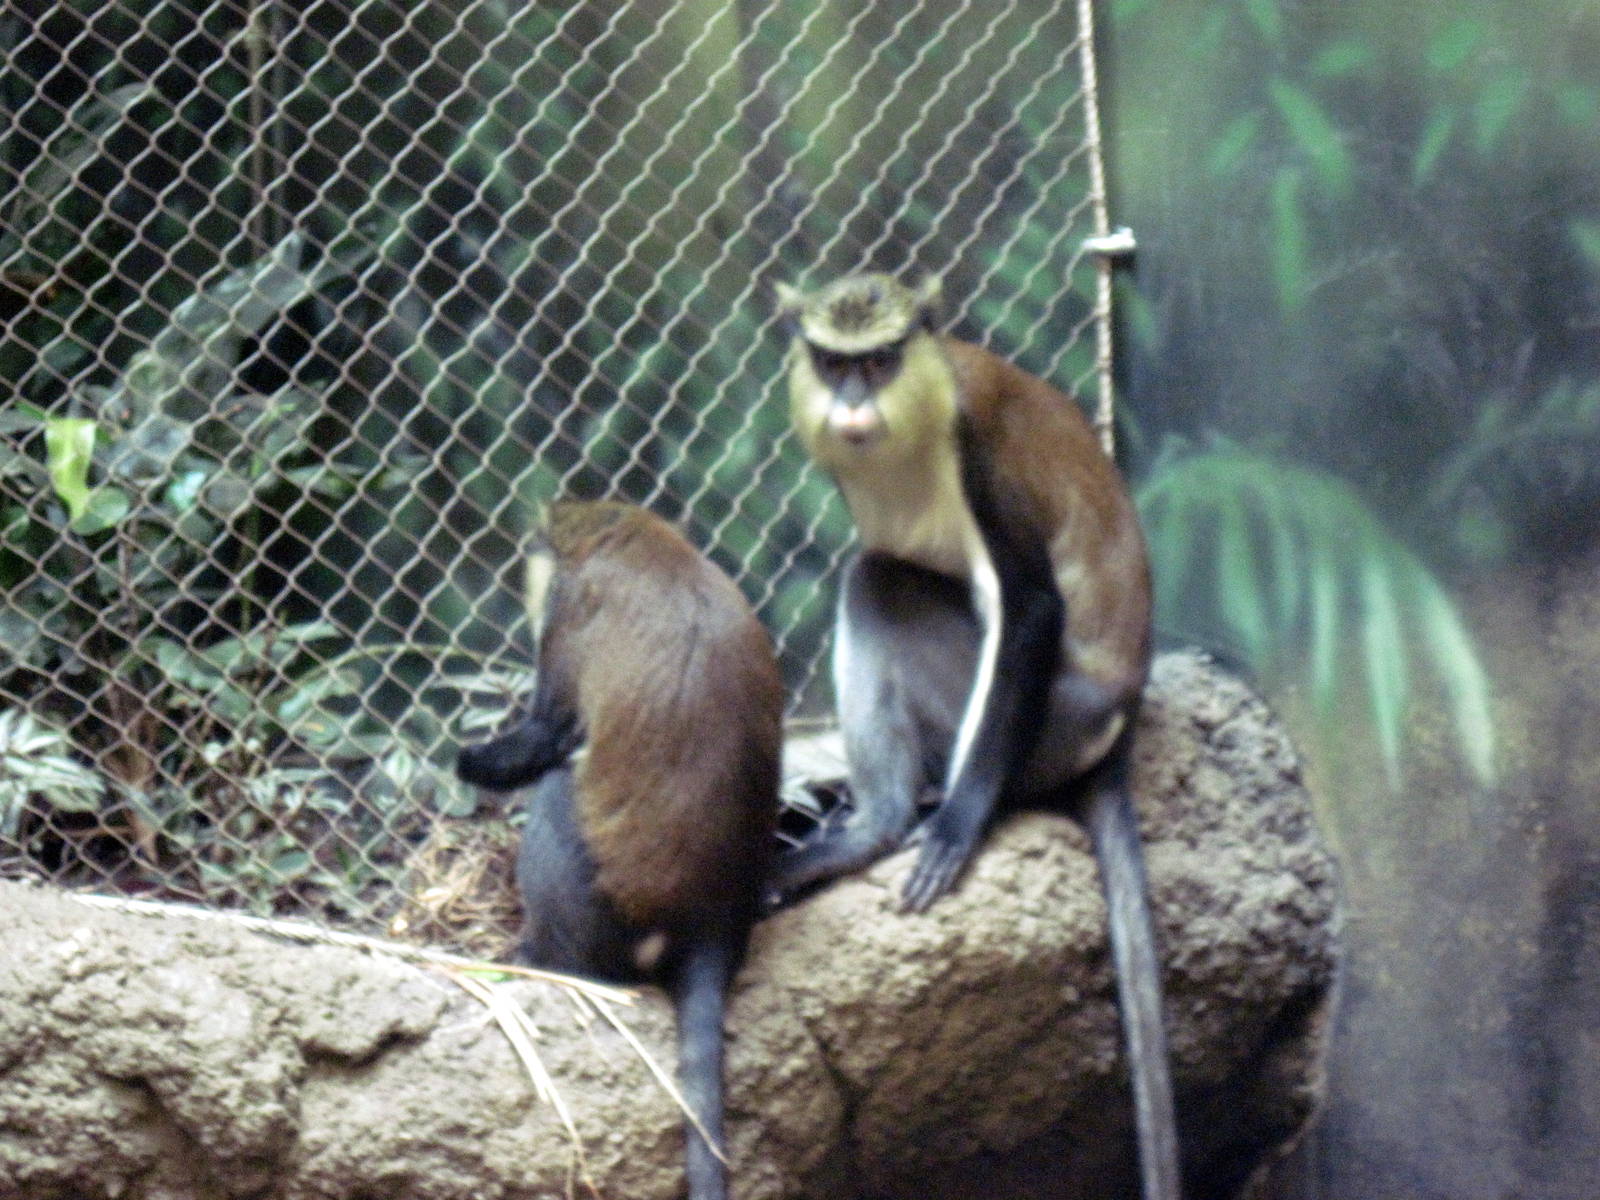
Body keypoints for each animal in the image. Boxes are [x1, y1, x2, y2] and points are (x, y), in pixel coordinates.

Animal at [457, 500, 783, 1200]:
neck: (637, 538)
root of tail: (710, 915)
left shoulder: (571, 605)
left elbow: (548, 734)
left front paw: (466, 762)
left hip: (598, 904)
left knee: (557, 789)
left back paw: (541, 959)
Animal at [773, 274, 1180, 1200]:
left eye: (882, 360)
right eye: (834, 363)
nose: (852, 404)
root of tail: (1117, 721)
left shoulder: (979, 459)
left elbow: (1029, 608)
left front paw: (956, 825)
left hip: (1052, 722)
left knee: (875, 582)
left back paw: (893, 823)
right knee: (880, 571)